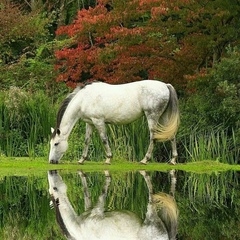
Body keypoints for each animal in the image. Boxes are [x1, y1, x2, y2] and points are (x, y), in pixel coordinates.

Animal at [48, 79, 179, 164]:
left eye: (56, 144)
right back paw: (173, 160)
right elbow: (87, 141)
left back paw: (144, 160)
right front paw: (81, 160)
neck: (83, 99)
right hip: (163, 117)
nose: (51, 161)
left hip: (152, 116)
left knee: (153, 137)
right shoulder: (89, 123)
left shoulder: (98, 121)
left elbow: (104, 139)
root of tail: (165, 85)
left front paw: (108, 159)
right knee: (171, 135)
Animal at [48, 171, 178, 240]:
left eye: (54, 188)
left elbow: (104, 189)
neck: (79, 227)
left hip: (152, 218)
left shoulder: (97, 211)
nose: (52, 172)